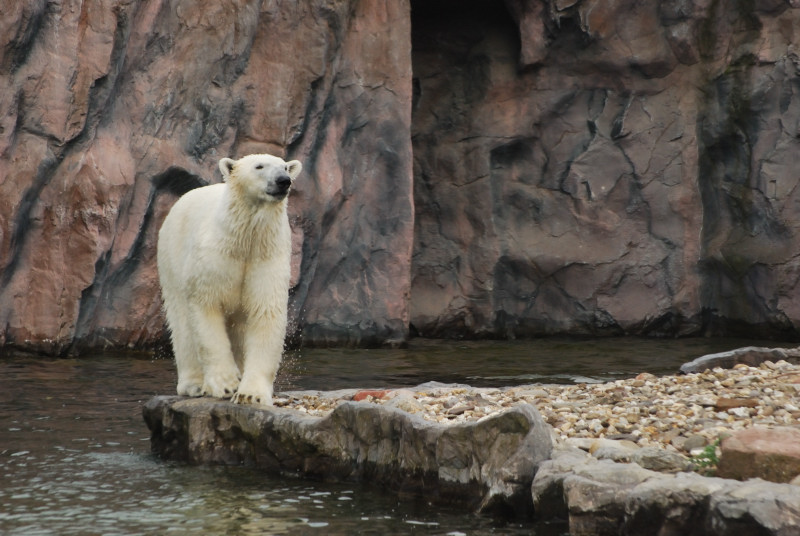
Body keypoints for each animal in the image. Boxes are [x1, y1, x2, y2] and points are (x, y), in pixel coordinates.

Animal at [157, 153, 302, 405]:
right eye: (259, 166)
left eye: (284, 167)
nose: (283, 181)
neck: (244, 240)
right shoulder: (213, 258)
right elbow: (207, 307)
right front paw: (226, 385)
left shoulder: (266, 255)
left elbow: (265, 312)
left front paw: (250, 394)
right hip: (171, 256)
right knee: (182, 323)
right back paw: (194, 384)